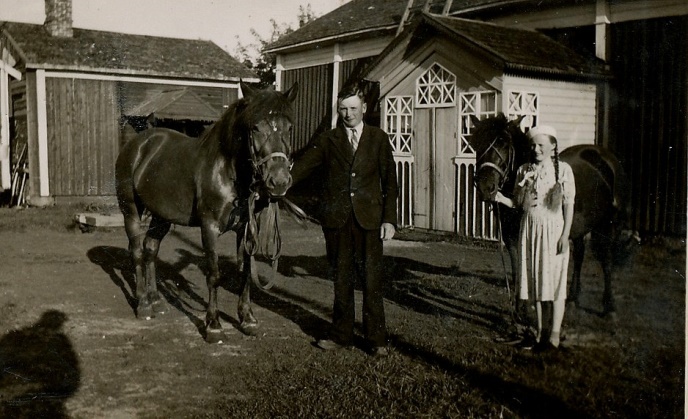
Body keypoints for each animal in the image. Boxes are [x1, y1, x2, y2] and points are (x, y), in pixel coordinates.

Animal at [116, 82, 298, 342]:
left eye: (289, 127)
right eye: (255, 128)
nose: (279, 182)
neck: (227, 170)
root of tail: (137, 145)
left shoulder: (246, 229)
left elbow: (246, 273)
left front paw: (248, 319)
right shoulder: (209, 227)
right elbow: (214, 274)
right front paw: (213, 325)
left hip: (162, 216)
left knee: (151, 249)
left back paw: (156, 300)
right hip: (130, 211)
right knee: (137, 252)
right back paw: (143, 304)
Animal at [470, 115, 636, 318]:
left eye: (504, 145)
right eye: (477, 144)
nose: (486, 188)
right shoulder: (511, 238)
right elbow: (518, 269)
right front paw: (520, 310)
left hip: (610, 224)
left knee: (607, 260)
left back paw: (609, 307)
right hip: (579, 227)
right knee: (579, 255)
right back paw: (572, 299)